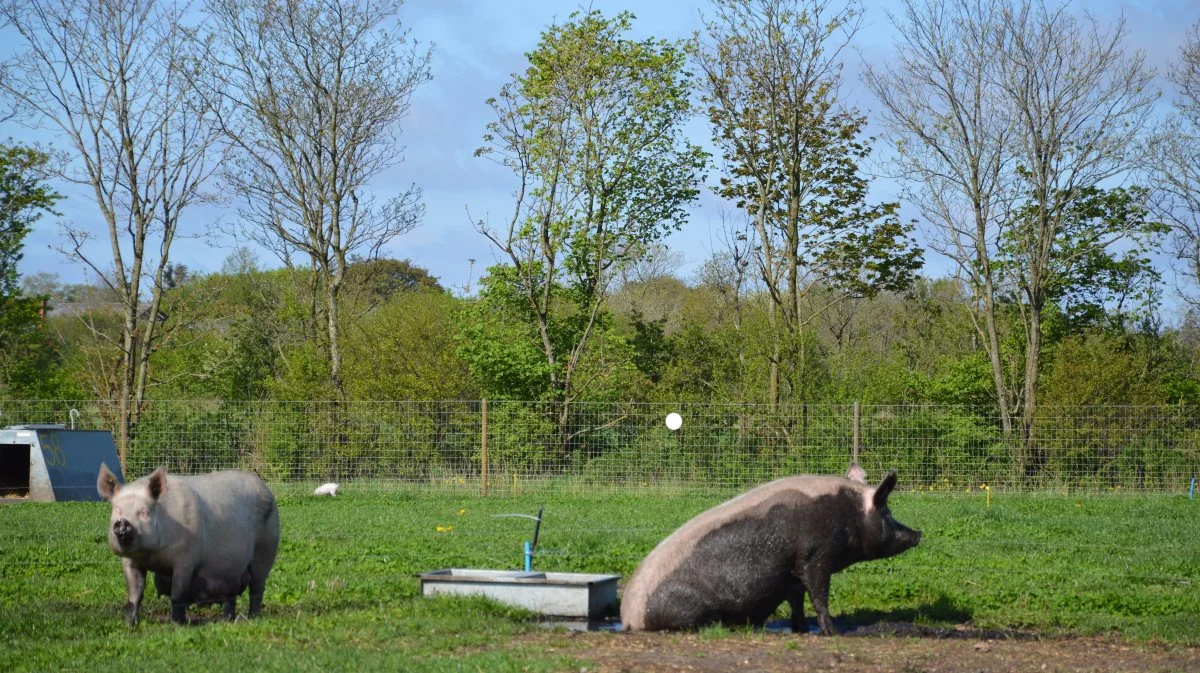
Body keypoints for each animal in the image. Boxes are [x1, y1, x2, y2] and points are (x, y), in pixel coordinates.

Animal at [97, 460, 279, 623]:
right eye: (117, 510)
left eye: (144, 512)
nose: (122, 523)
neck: (153, 555)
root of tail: (266, 488)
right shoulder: (130, 561)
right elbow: (135, 594)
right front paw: (131, 624)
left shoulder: (185, 559)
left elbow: (177, 594)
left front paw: (178, 624)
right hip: (231, 570)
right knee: (231, 596)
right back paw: (227, 620)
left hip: (266, 550)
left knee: (257, 587)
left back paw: (253, 617)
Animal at [619, 470, 916, 633]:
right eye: (887, 513)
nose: (918, 534)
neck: (847, 512)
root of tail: (628, 617)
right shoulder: (815, 555)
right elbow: (818, 593)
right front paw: (831, 632)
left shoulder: (793, 572)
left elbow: (797, 600)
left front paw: (801, 629)